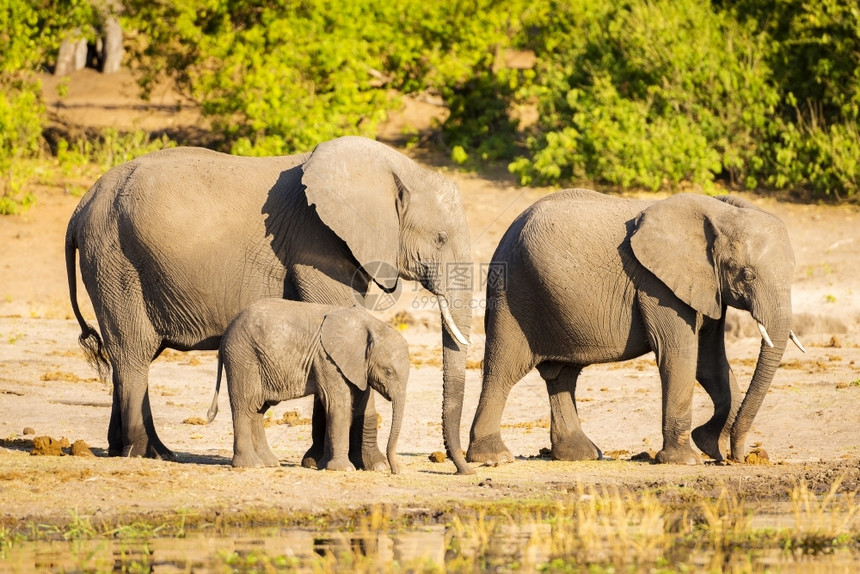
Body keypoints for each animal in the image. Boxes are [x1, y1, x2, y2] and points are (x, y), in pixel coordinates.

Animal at [208, 300, 410, 474]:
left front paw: (326, 465)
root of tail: (225, 334)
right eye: (389, 372)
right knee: (245, 405)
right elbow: (338, 405)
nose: (395, 471)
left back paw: (269, 463)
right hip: (243, 358)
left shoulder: (357, 364)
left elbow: (361, 404)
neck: (371, 325)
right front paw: (342, 469)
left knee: (258, 409)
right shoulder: (327, 358)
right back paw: (251, 465)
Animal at [466, 190, 804, 468]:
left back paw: (582, 455)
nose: (741, 456)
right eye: (747, 274)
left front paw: (710, 445)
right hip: (513, 293)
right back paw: (494, 458)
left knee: (562, 375)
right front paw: (686, 459)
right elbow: (679, 354)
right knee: (504, 369)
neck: (719, 213)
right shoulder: (657, 285)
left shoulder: (706, 285)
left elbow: (710, 362)